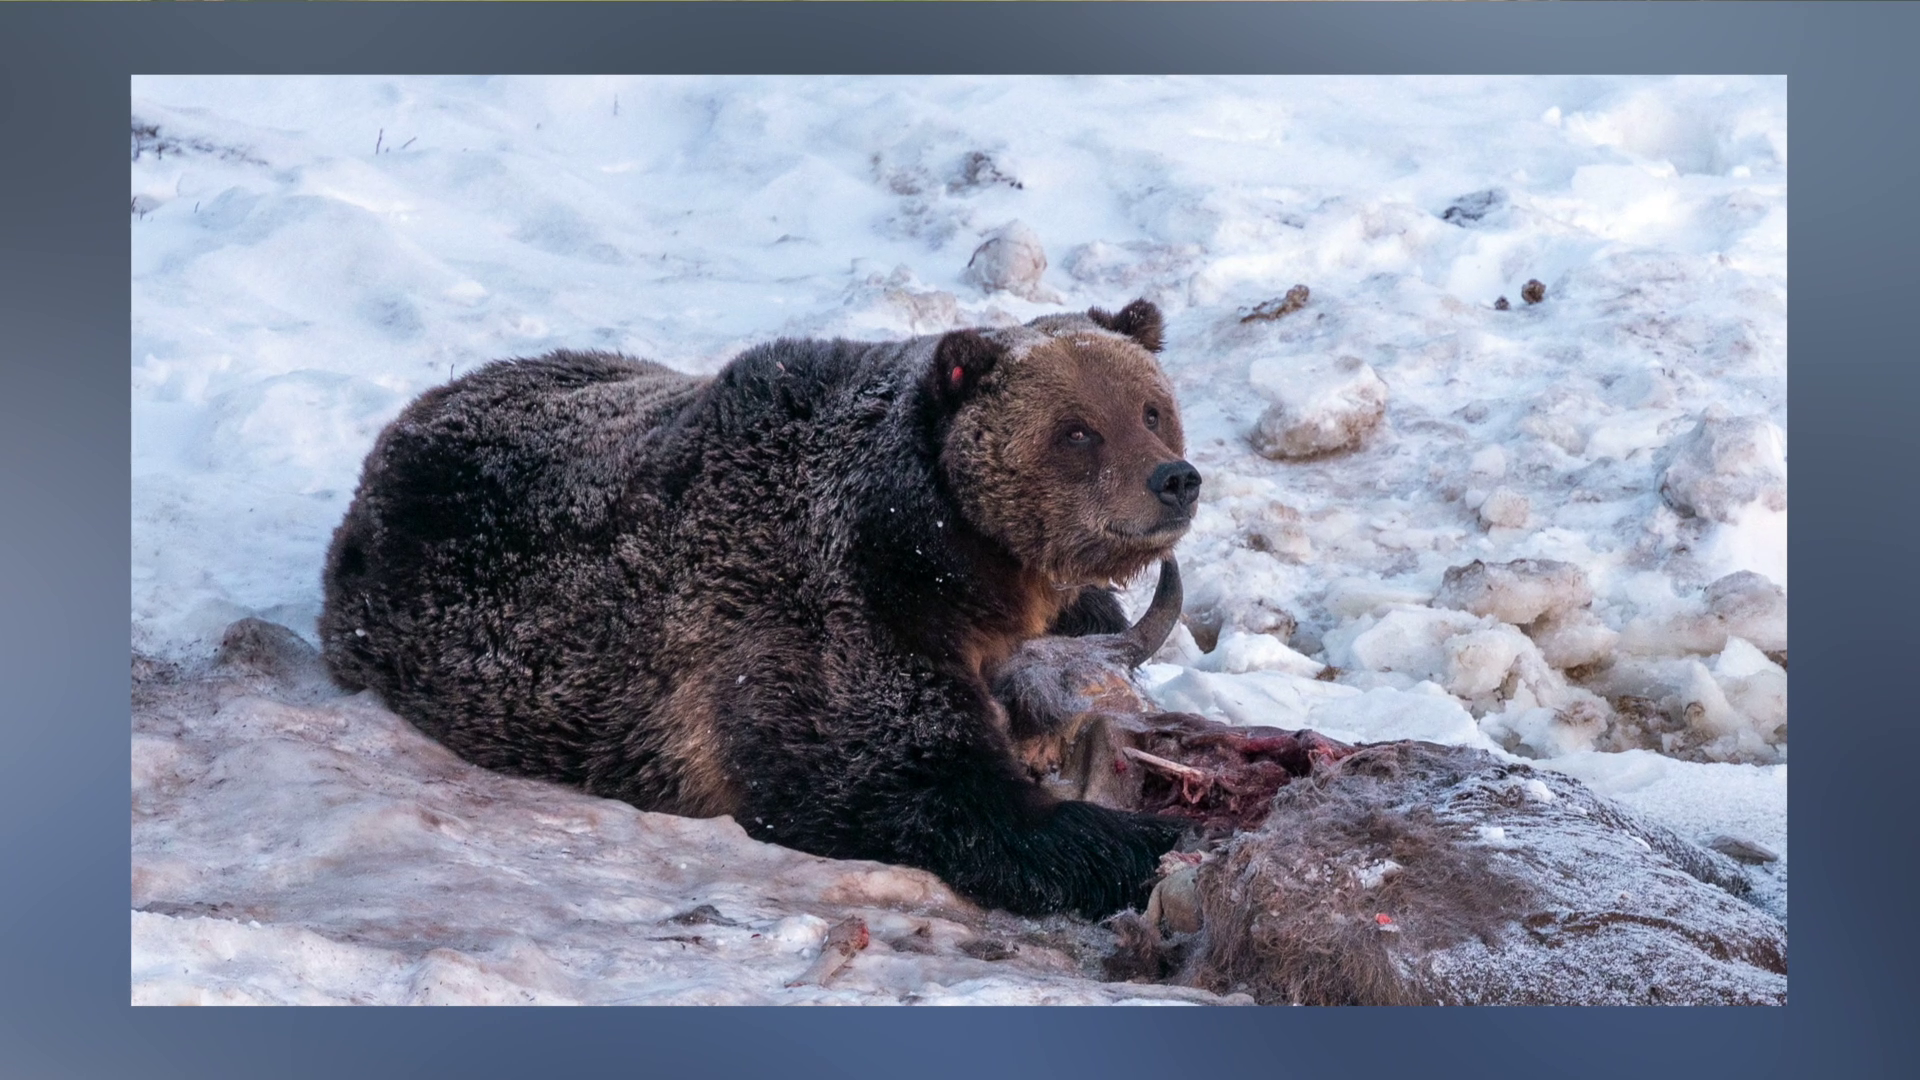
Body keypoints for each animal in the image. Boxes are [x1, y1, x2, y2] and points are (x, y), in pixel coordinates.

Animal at [319, 299, 1202, 918]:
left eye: (1152, 409)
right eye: (1077, 430)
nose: (1175, 479)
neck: (953, 557)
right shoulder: (818, 620)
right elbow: (920, 784)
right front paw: (1166, 839)